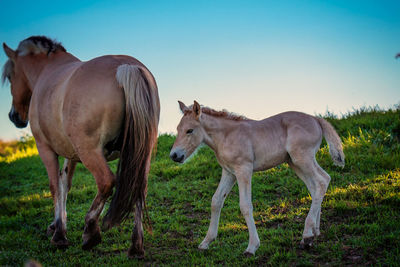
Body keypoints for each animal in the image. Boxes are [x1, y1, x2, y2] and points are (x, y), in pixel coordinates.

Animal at [3, 36, 160, 260]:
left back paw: (91, 230)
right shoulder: (71, 153)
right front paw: (57, 226)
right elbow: (64, 183)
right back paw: (136, 246)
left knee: (106, 181)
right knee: (139, 188)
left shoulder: (45, 149)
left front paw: (59, 235)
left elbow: (54, 186)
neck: (47, 71)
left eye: (10, 76)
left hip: (90, 152)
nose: (14, 116)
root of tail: (126, 67)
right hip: (139, 155)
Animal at [169, 101, 344, 258]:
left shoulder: (244, 170)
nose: (174, 155)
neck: (226, 136)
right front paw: (206, 242)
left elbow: (245, 206)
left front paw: (252, 247)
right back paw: (314, 232)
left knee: (322, 181)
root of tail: (316, 119)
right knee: (315, 187)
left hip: (302, 158)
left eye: (189, 130)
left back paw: (307, 235)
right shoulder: (229, 172)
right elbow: (216, 201)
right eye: (177, 129)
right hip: (294, 162)